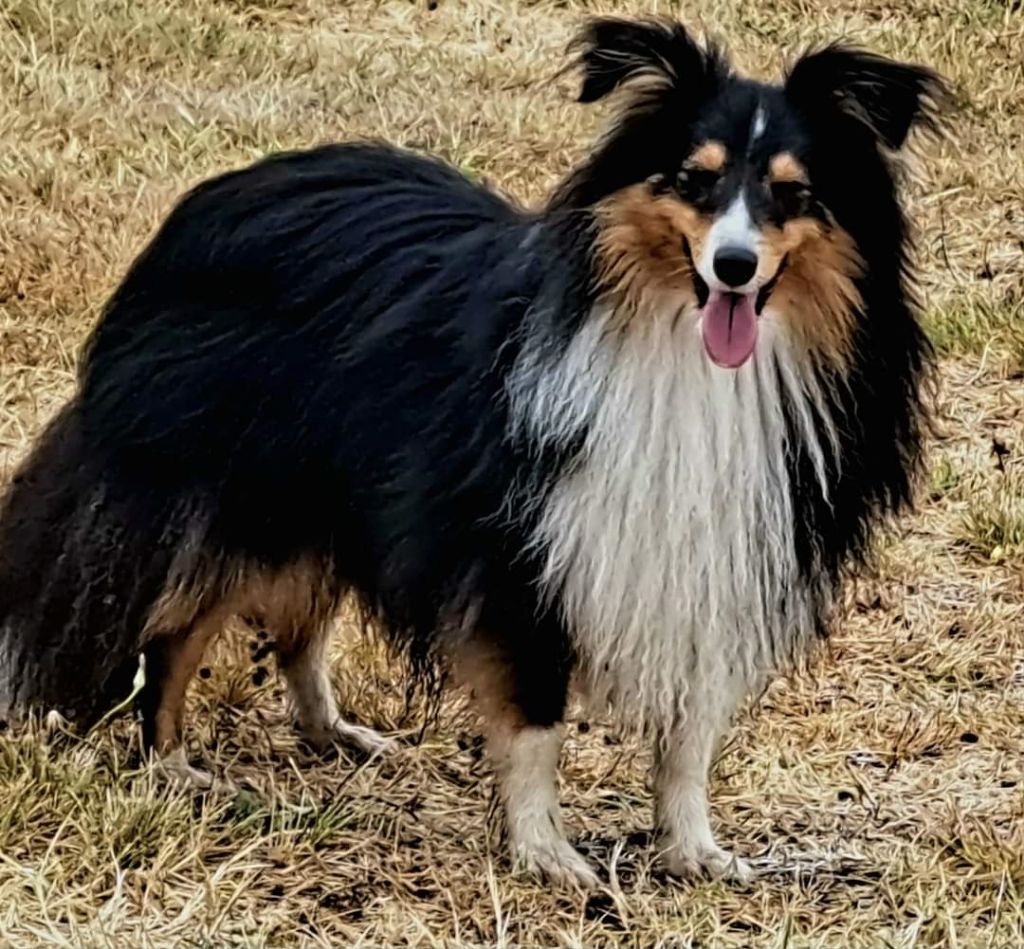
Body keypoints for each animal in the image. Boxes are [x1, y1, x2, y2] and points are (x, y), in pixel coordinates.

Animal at [0, 18, 942, 888]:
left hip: (330, 492)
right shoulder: (526, 551)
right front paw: (545, 852)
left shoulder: (723, 555)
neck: (669, 341)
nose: (735, 267)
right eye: (694, 180)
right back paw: (169, 765)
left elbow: (688, 734)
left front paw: (694, 851)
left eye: (792, 193)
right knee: (172, 634)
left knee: (300, 628)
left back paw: (335, 733)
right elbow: (534, 720)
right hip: (239, 492)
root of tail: (220, 195)